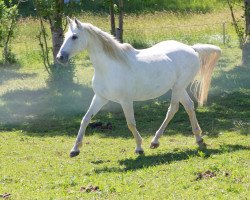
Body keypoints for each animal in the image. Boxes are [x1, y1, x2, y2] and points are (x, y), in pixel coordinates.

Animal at [56, 17, 221, 158]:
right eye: (66, 36)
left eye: (74, 37)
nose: (60, 58)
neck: (110, 67)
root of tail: (191, 48)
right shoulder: (100, 97)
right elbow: (85, 119)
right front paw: (74, 150)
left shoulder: (126, 101)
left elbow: (130, 123)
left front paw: (139, 148)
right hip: (178, 88)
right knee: (189, 106)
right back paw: (198, 139)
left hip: (178, 88)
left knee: (172, 109)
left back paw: (155, 141)